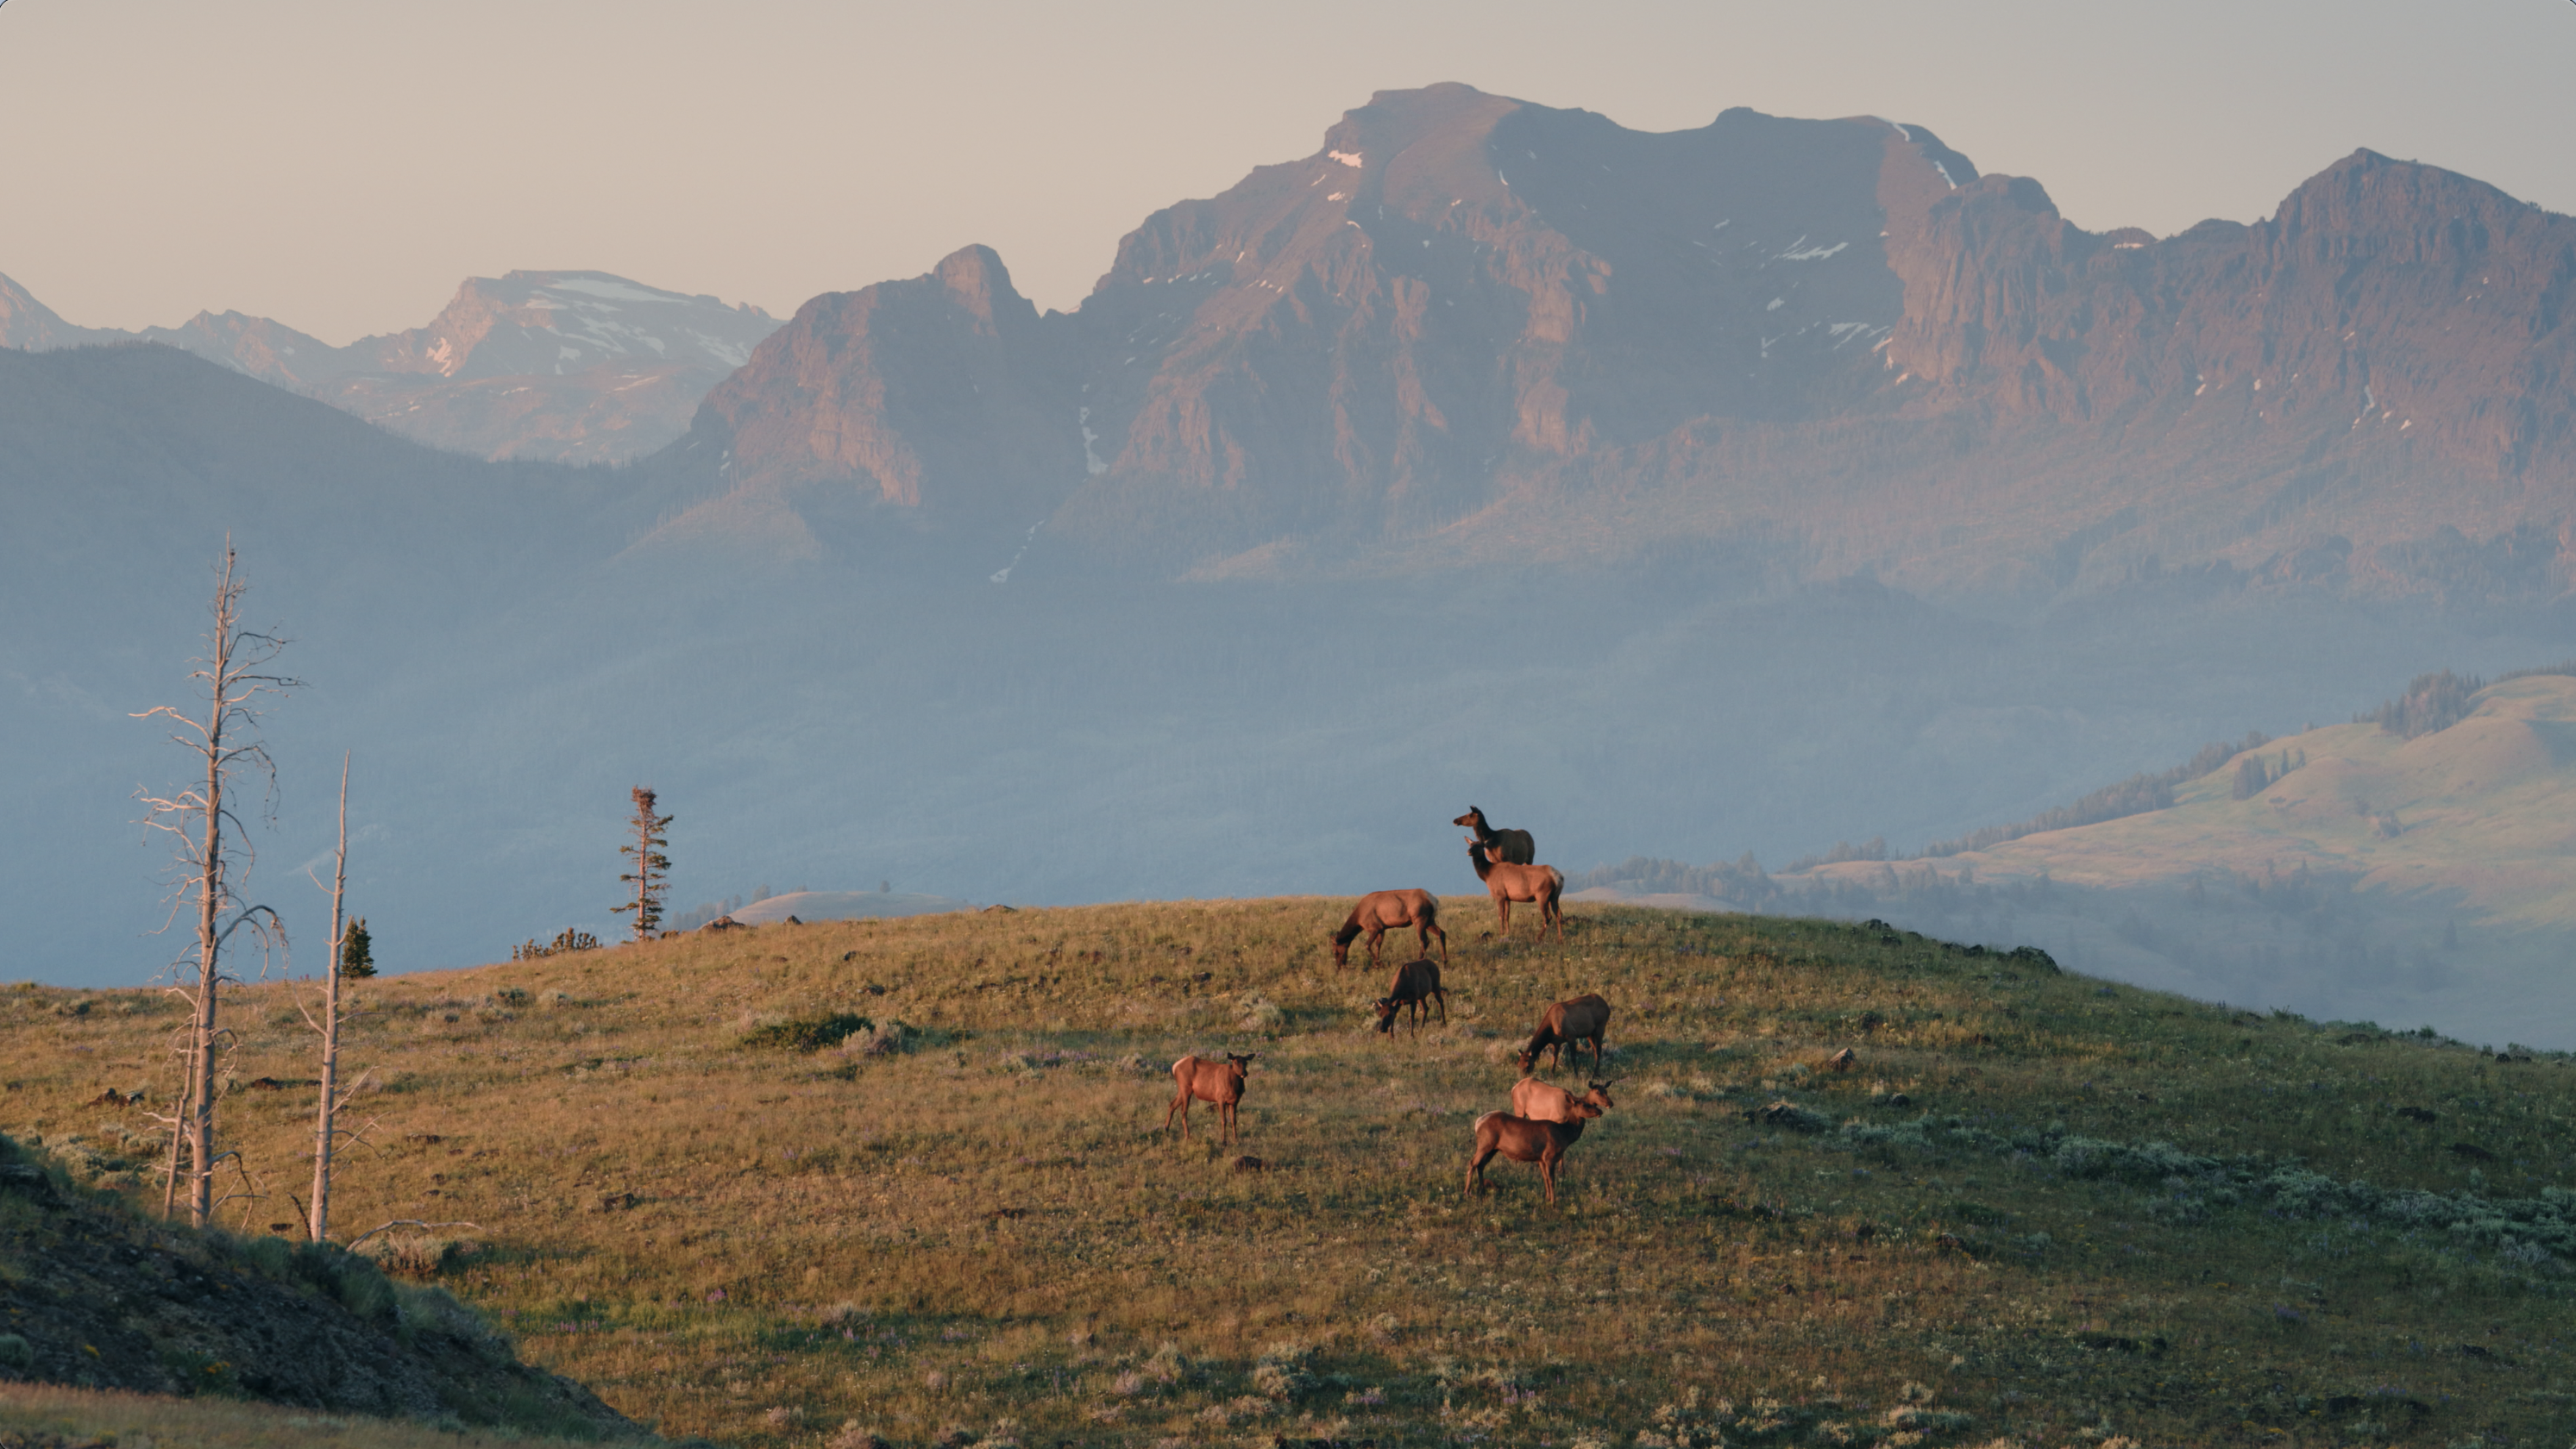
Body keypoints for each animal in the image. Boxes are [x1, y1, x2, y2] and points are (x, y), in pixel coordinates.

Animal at [1329, 890, 1453, 967]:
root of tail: (1434, 900)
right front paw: (1376, 965)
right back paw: (1445, 962)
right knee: (1441, 933)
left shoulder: (1375, 927)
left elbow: (1367, 945)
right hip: (1430, 921)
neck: (1359, 918)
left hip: (1419, 920)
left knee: (1425, 940)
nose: (1339, 966)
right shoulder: (1382, 929)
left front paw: (1379, 963)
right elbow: (1378, 945)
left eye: (1335, 952)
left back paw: (1418, 961)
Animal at [1463, 1107, 1597, 1209]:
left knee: (1480, 1165)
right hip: (1485, 1144)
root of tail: (1478, 1122)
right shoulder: (1549, 1156)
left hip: (1493, 1149)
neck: (1565, 1134)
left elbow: (1546, 1178)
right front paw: (1553, 1203)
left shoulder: (1541, 1159)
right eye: (1586, 1105)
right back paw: (1467, 1192)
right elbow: (1551, 1180)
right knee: (1472, 1163)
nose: (1599, 1111)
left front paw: (1548, 1198)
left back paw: (1481, 1191)